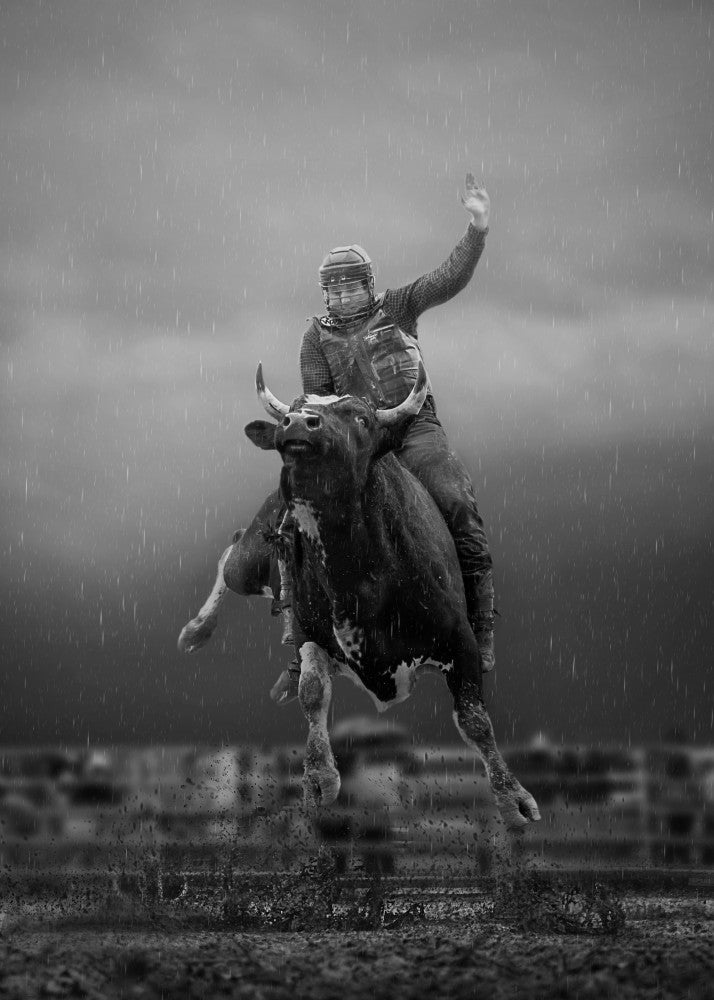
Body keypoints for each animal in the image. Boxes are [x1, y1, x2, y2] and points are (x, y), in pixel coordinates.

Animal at [232, 362, 540, 832]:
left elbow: (474, 718)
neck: (356, 579)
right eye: (297, 407)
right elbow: (311, 691)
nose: (298, 423)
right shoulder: (308, 633)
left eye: (361, 418)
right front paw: (317, 781)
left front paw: (514, 800)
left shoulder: (460, 641)